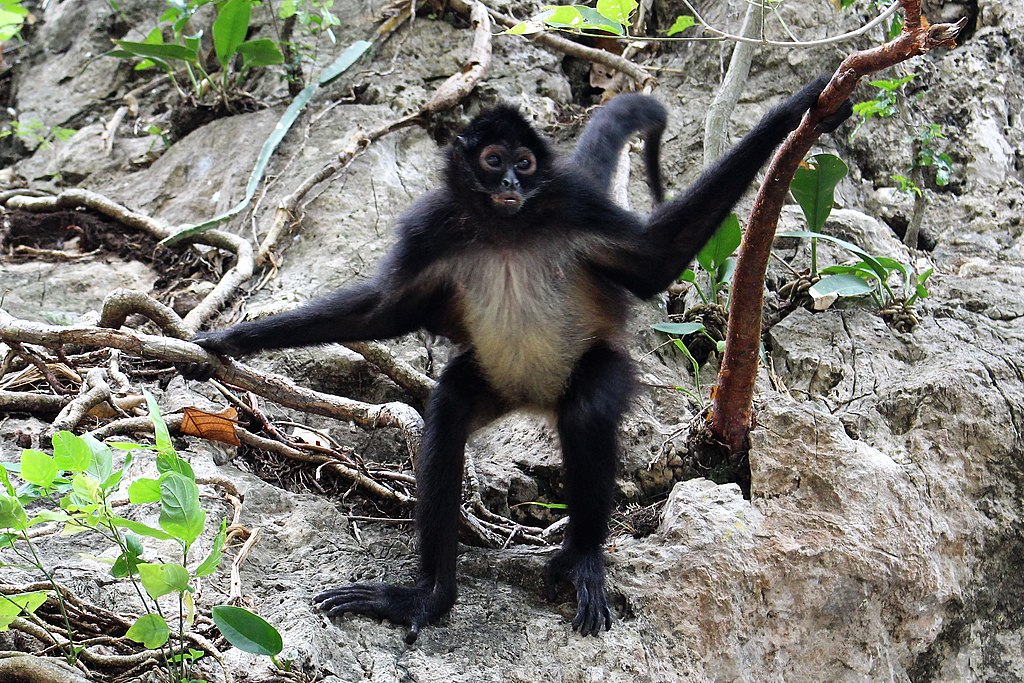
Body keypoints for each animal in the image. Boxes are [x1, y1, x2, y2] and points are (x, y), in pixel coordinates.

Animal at [179, 75, 851, 644]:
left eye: (523, 165)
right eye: (492, 161)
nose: (510, 187)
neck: (507, 230)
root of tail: (534, 398)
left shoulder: (574, 204)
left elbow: (658, 260)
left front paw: (800, 109)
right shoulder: (432, 228)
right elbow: (380, 314)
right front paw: (226, 342)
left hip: (594, 363)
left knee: (586, 410)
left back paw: (583, 555)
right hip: (491, 381)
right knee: (448, 411)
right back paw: (430, 597)